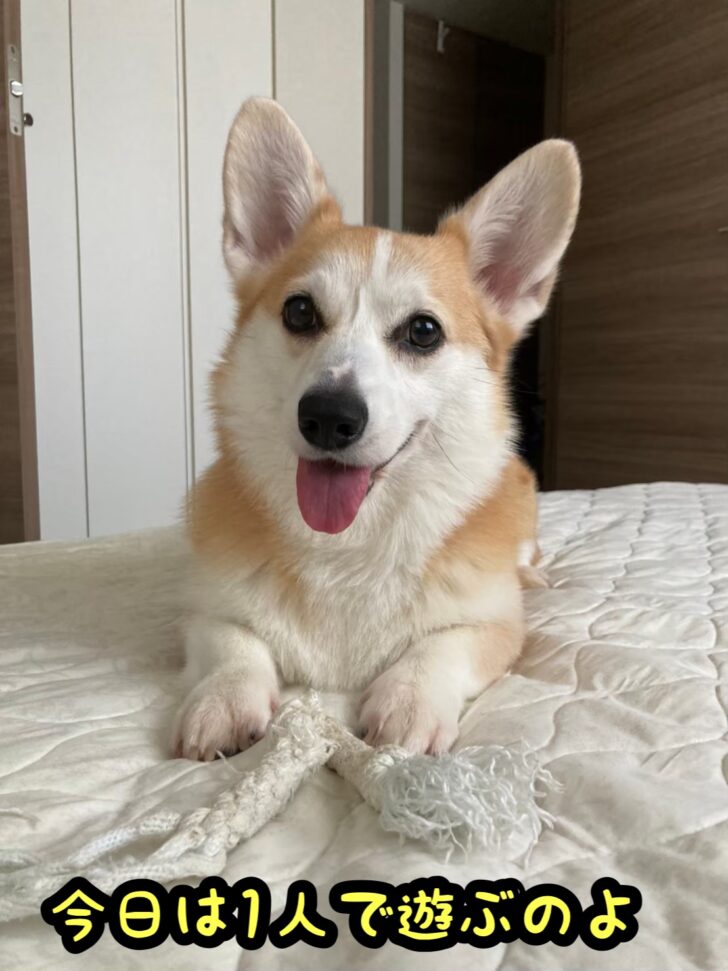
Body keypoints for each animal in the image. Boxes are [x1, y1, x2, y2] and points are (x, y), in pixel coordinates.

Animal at [173, 97, 580, 761]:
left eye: (423, 331)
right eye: (299, 312)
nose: (328, 417)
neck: (349, 545)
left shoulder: (495, 626)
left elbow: (443, 644)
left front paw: (408, 700)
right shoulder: (203, 610)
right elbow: (233, 642)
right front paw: (224, 700)